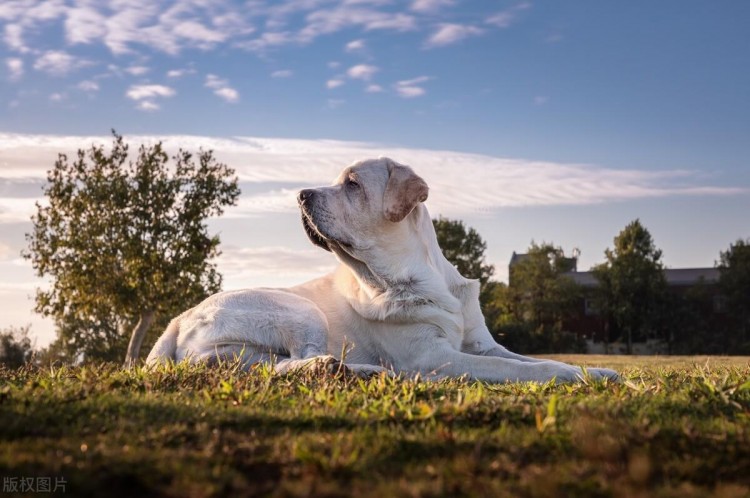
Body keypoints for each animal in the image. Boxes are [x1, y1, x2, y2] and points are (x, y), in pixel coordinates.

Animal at [145, 158, 616, 384]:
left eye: (352, 184)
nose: (300, 194)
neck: (413, 273)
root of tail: (178, 319)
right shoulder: (433, 357)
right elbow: (529, 369)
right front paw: (568, 374)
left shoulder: (483, 346)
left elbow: (526, 358)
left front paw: (599, 372)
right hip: (299, 310)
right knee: (299, 360)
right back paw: (348, 370)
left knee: (276, 366)